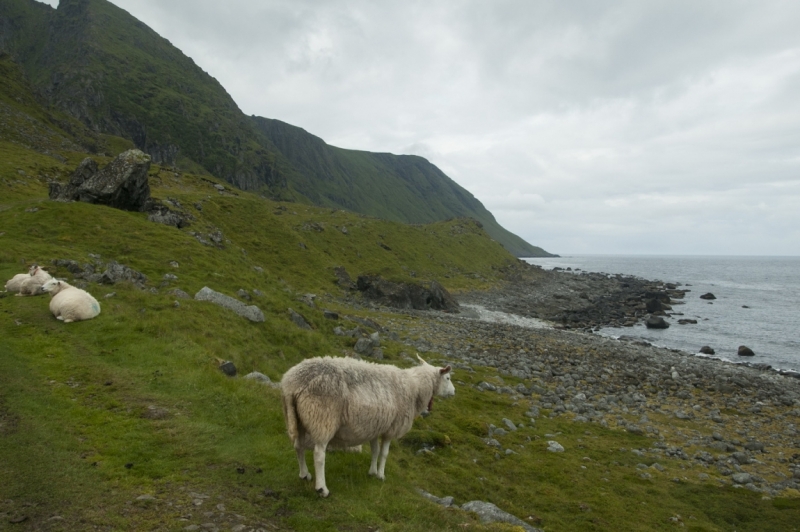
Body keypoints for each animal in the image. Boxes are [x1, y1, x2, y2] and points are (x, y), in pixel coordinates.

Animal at [282, 356, 456, 496]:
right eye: (447, 378)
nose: (454, 392)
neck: (415, 388)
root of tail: (293, 384)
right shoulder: (391, 428)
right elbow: (384, 453)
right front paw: (381, 475)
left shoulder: (375, 426)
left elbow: (375, 451)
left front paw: (372, 472)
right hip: (322, 418)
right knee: (319, 455)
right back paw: (322, 488)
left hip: (299, 419)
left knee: (298, 446)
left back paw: (304, 475)